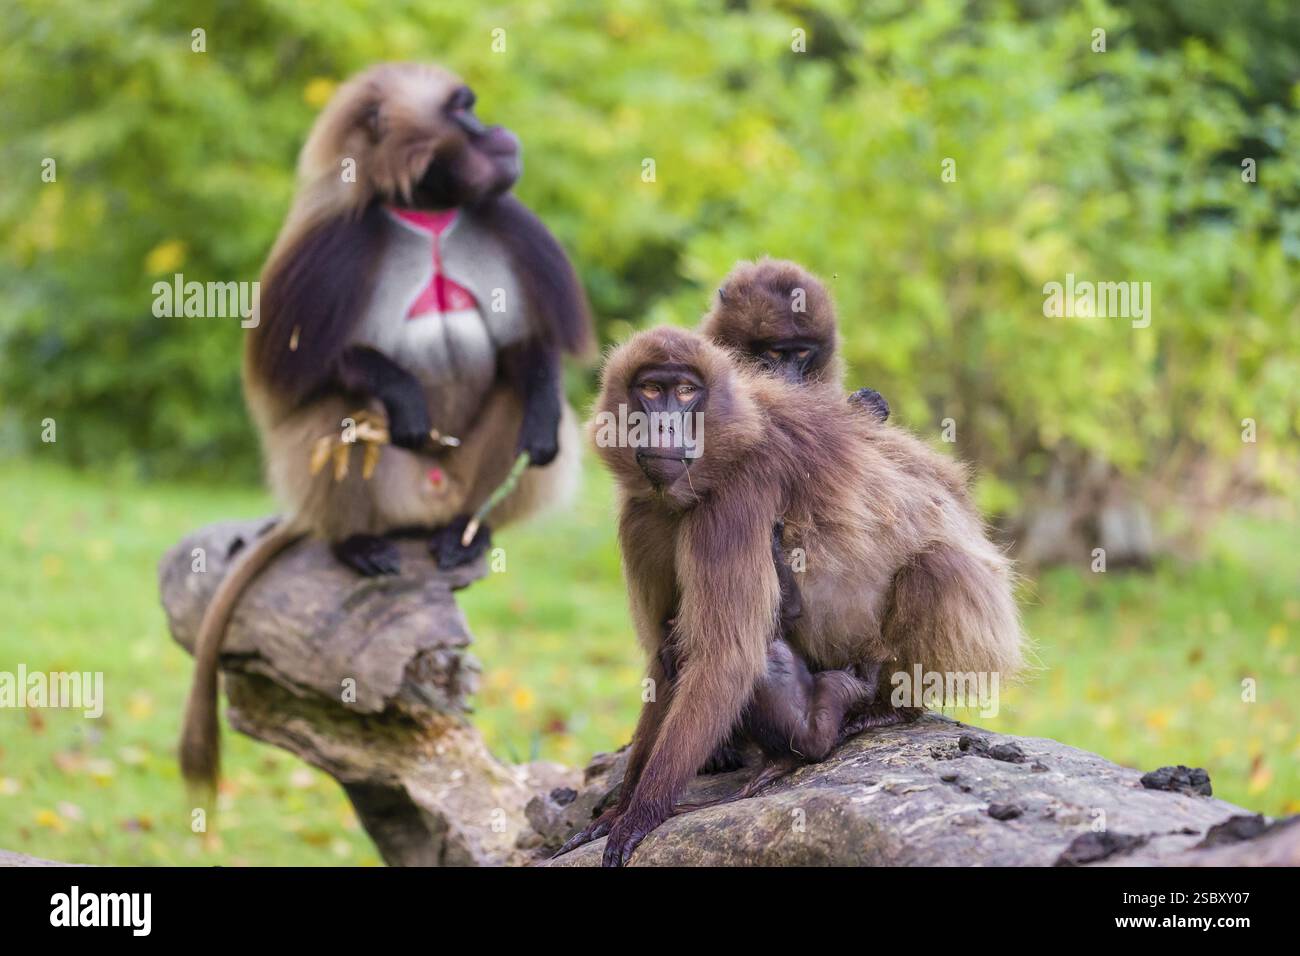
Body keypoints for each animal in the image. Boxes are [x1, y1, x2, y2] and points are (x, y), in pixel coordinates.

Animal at [179, 63, 592, 795]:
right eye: (463, 110)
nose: (500, 133)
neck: (427, 214)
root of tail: (423, 509)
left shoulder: (508, 232)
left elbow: (526, 354)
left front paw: (541, 423)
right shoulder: (329, 250)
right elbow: (322, 369)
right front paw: (402, 397)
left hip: (459, 483)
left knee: (515, 411)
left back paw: (466, 533)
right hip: (387, 488)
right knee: (341, 423)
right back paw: (359, 543)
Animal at [559, 327, 1023, 865]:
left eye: (687, 391)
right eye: (652, 390)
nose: (666, 427)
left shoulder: (738, 497)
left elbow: (724, 657)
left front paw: (640, 814)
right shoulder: (642, 513)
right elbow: (664, 657)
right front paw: (617, 811)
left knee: (937, 567)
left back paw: (879, 710)